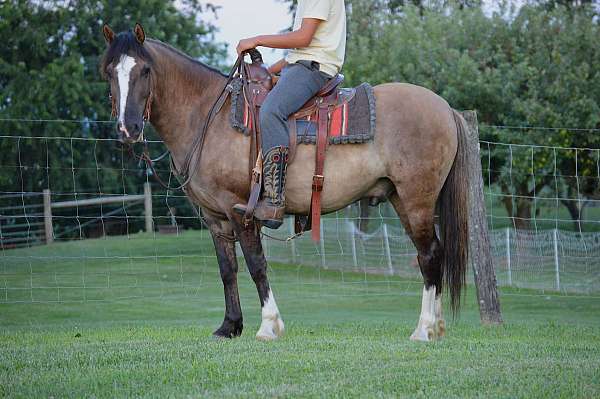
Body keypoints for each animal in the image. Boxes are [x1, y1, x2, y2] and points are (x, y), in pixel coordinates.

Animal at [102, 24, 468, 344]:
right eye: (108, 72)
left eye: (145, 70)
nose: (127, 128)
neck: (209, 115)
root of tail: (446, 108)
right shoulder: (215, 218)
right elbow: (227, 269)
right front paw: (229, 327)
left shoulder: (240, 211)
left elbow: (256, 265)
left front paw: (268, 325)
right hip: (402, 199)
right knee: (431, 254)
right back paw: (435, 327)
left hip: (416, 199)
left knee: (429, 255)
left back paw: (424, 329)